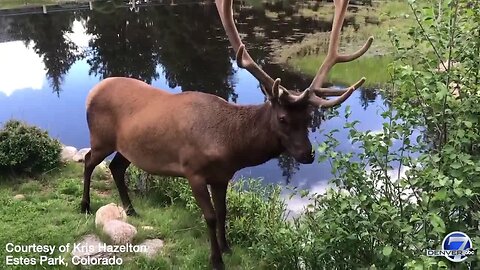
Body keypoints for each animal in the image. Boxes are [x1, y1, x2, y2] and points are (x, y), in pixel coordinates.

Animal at [81, 0, 376, 268]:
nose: (308, 154)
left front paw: (227, 247)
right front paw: (216, 259)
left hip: (127, 146)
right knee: (89, 161)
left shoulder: (222, 176)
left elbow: (224, 212)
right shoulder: (193, 171)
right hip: (100, 137)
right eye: (283, 118)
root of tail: (92, 92)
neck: (229, 146)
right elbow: (210, 216)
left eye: (307, 118)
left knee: (117, 167)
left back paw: (131, 208)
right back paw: (85, 205)